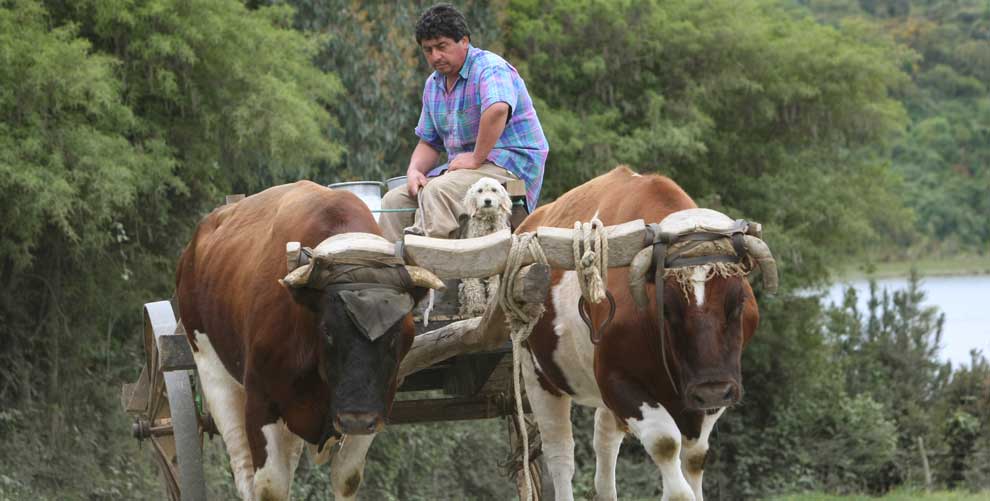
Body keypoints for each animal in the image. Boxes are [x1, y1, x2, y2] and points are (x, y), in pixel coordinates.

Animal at [462, 178, 516, 314]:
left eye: (494, 190)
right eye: (480, 191)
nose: (487, 201)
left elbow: (495, 283)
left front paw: (491, 302)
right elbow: (473, 285)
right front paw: (477, 306)